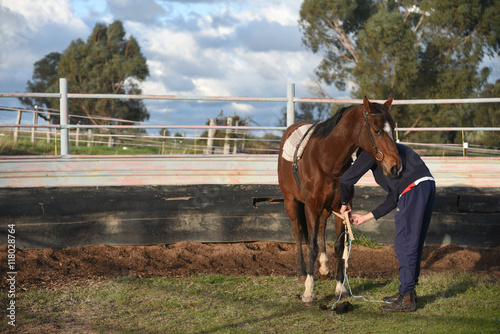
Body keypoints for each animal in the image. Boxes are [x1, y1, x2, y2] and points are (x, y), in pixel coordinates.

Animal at [278, 96, 402, 306]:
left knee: (321, 228)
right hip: (291, 202)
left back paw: (324, 268)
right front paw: (309, 292)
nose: (396, 167)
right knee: (297, 232)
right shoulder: (311, 206)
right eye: (377, 130)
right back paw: (302, 272)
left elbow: (339, 246)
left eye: (393, 128)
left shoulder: (341, 207)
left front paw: (340, 289)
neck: (326, 159)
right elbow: (311, 245)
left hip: (326, 209)